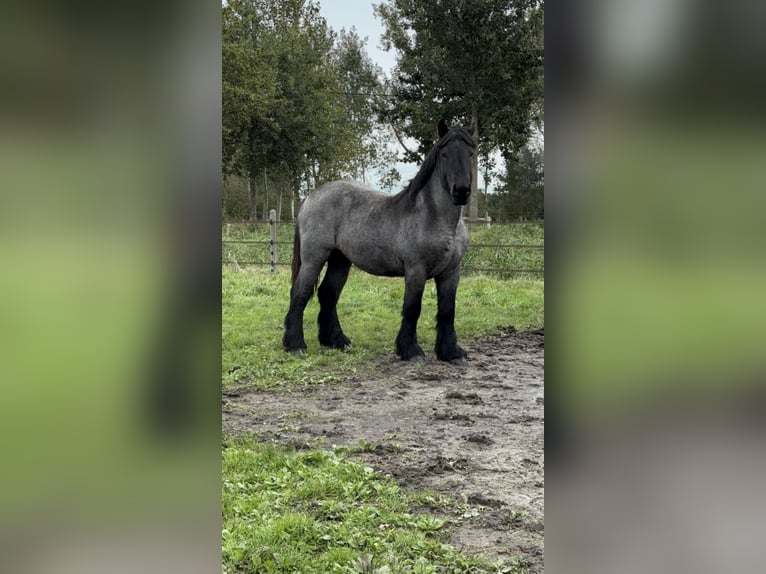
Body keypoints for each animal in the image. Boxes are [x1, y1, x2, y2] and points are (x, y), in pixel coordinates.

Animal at [282, 119, 474, 366]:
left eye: (470, 153)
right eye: (444, 154)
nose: (461, 191)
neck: (436, 219)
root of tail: (311, 196)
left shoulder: (451, 273)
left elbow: (448, 311)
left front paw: (451, 352)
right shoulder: (416, 270)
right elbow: (412, 308)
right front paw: (410, 350)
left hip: (340, 260)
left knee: (328, 294)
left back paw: (337, 341)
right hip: (313, 259)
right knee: (300, 293)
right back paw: (296, 345)